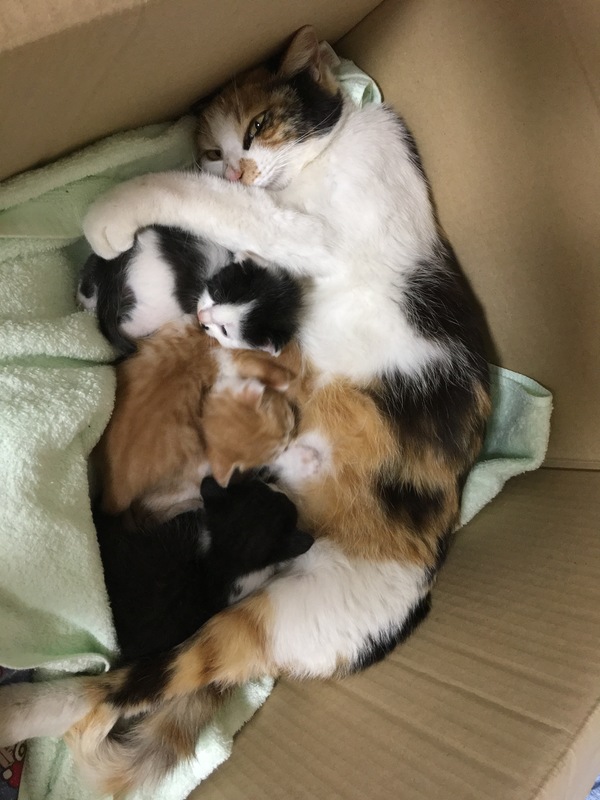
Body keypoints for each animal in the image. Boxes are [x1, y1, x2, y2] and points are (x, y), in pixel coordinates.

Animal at [78, 224, 302, 356]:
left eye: (225, 331)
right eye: (217, 294)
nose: (201, 316)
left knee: (92, 269)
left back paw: (86, 300)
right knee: (129, 326)